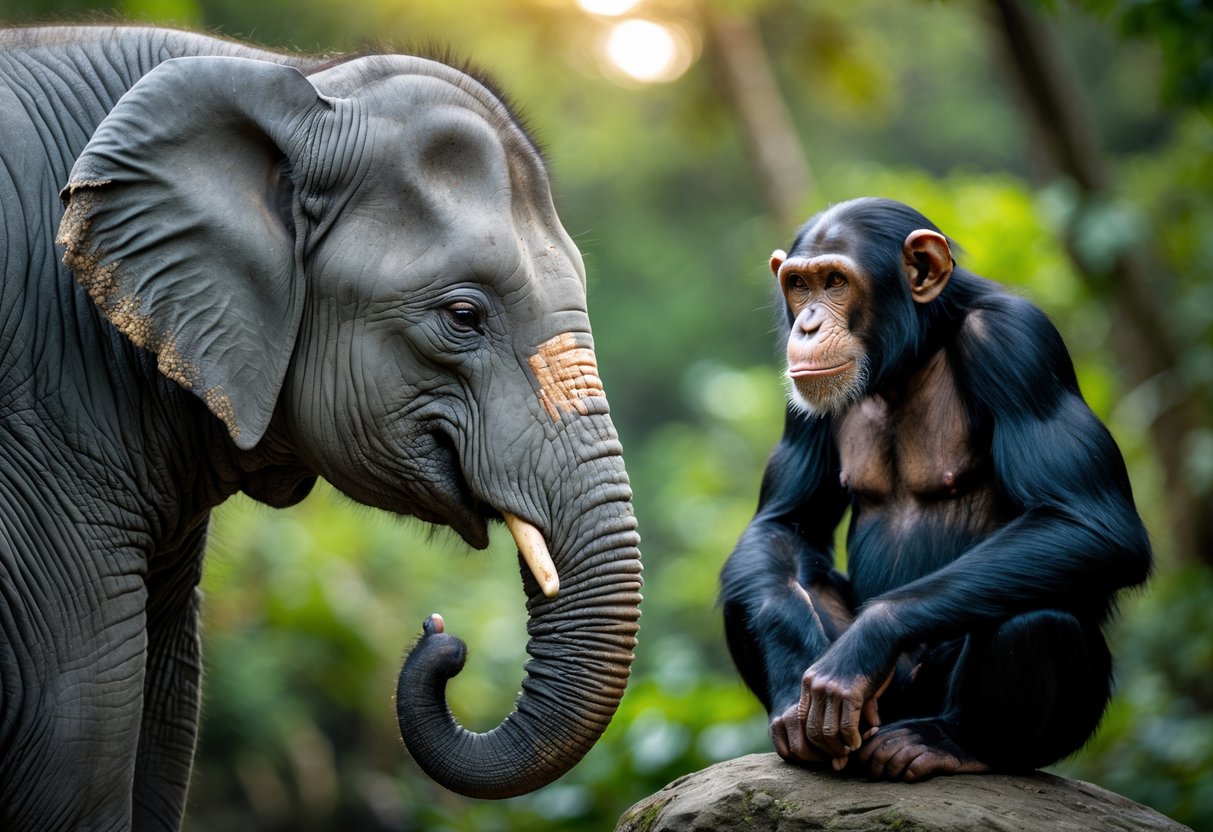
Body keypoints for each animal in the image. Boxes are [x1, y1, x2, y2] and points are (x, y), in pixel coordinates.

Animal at [0, 24, 643, 830]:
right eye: (463, 316)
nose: (439, 634)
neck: (291, 80)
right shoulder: (41, 433)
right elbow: (78, 727)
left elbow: (164, 711)